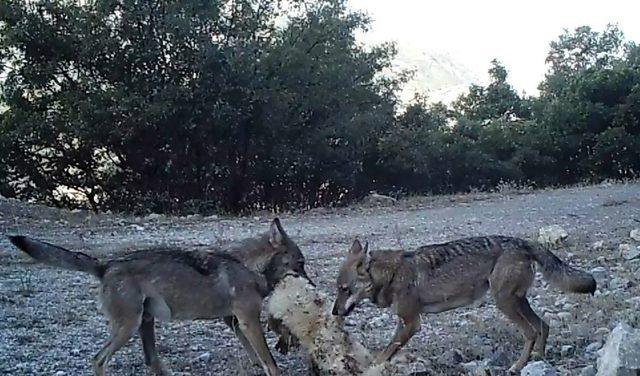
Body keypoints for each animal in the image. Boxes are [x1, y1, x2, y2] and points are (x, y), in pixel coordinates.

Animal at [8, 217, 308, 376]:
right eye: (300, 264)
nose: (313, 285)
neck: (248, 266)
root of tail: (106, 265)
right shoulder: (248, 321)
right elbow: (269, 360)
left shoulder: (233, 322)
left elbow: (255, 355)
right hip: (128, 328)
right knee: (98, 359)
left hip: (145, 323)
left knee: (151, 362)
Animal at [332, 236, 596, 372]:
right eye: (337, 288)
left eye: (344, 289)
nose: (334, 312)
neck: (391, 274)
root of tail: (523, 241)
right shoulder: (405, 323)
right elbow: (384, 354)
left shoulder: (410, 323)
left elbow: (383, 355)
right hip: (515, 301)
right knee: (543, 326)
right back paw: (538, 362)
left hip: (505, 303)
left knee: (532, 332)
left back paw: (517, 366)